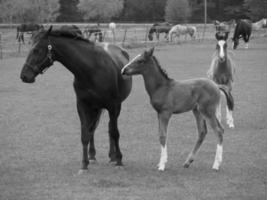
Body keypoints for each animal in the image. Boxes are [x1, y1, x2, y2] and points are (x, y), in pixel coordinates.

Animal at [19, 26, 133, 173]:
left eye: (36, 50)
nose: (24, 76)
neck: (92, 69)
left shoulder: (113, 106)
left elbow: (114, 132)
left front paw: (119, 160)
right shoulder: (82, 106)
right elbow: (85, 134)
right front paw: (84, 164)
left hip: (112, 108)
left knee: (109, 129)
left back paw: (112, 157)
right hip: (95, 108)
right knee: (92, 129)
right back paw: (92, 156)